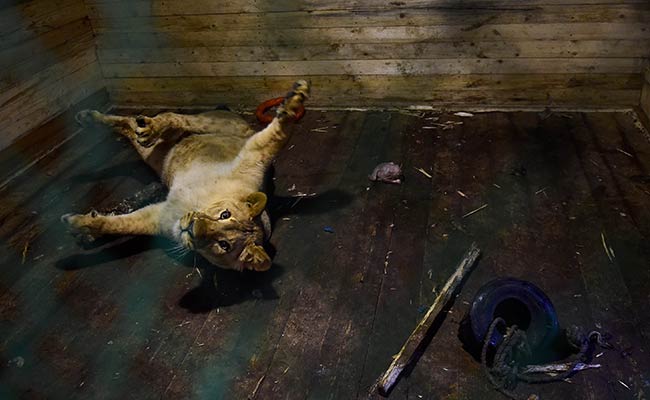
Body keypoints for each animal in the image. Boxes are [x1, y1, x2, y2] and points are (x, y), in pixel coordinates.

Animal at [62, 80, 310, 272]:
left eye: (224, 245)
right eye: (224, 214)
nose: (191, 228)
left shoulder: (157, 218)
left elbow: (120, 225)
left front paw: (80, 226)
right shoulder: (252, 160)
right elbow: (277, 136)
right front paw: (293, 104)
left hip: (155, 156)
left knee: (129, 126)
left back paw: (91, 119)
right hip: (209, 125)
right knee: (170, 117)